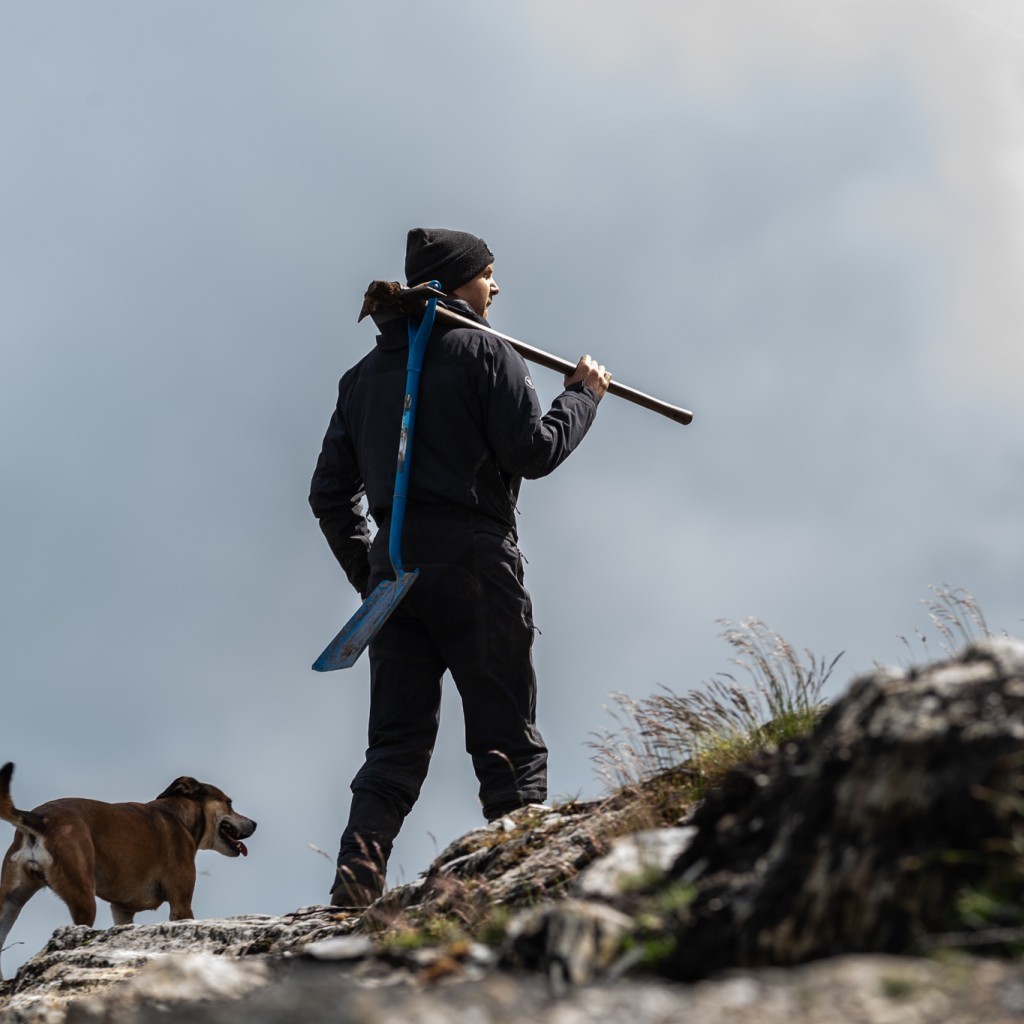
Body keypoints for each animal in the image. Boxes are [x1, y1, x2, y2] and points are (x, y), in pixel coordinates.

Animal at [0, 765, 256, 978]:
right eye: (229, 803)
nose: (254, 824)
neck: (179, 816)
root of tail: (40, 819)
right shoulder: (181, 904)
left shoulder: (122, 910)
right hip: (82, 897)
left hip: (10, 900)